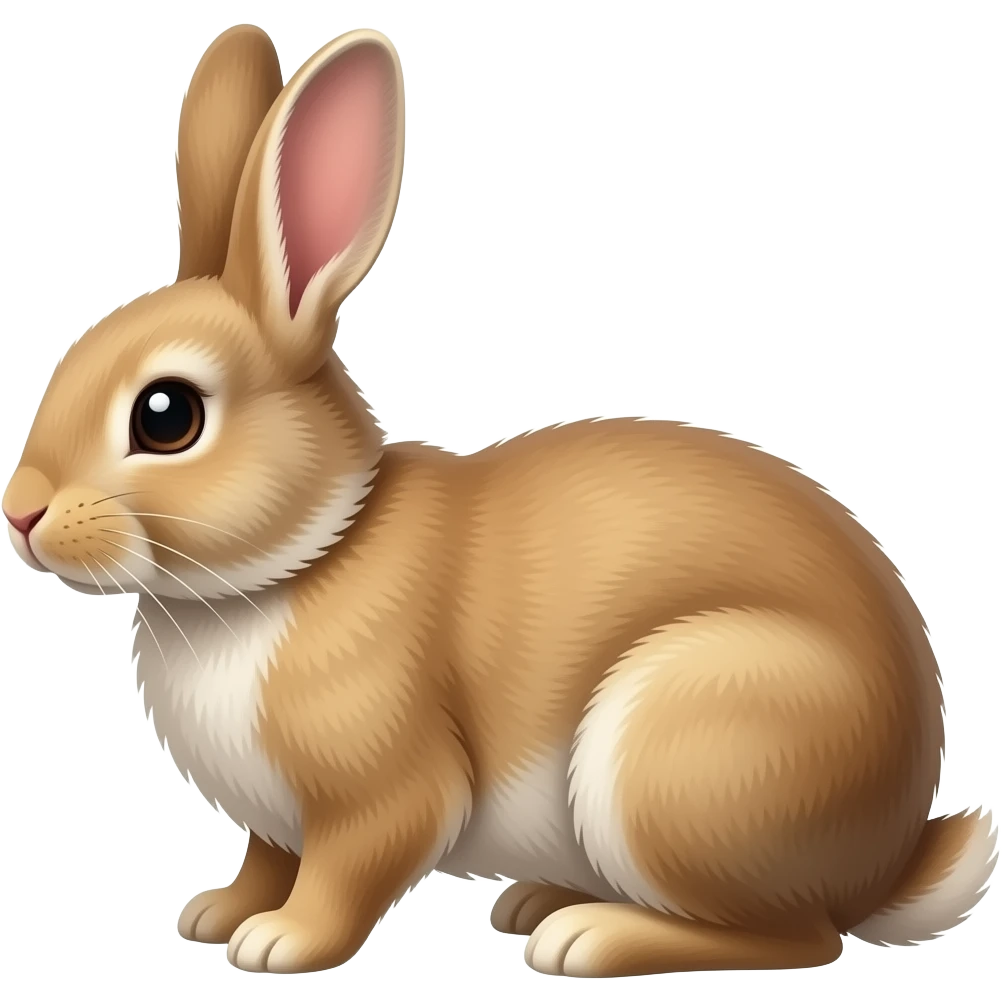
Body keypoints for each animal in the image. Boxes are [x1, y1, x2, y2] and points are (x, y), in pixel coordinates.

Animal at [2, 22, 997, 979]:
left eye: (167, 415)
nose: (22, 513)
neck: (307, 554)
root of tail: (894, 855)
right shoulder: (272, 822)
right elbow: (266, 858)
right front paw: (218, 914)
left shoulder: (385, 794)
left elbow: (346, 872)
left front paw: (280, 943)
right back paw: (538, 902)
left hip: (688, 745)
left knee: (798, 938)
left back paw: (587, 938)